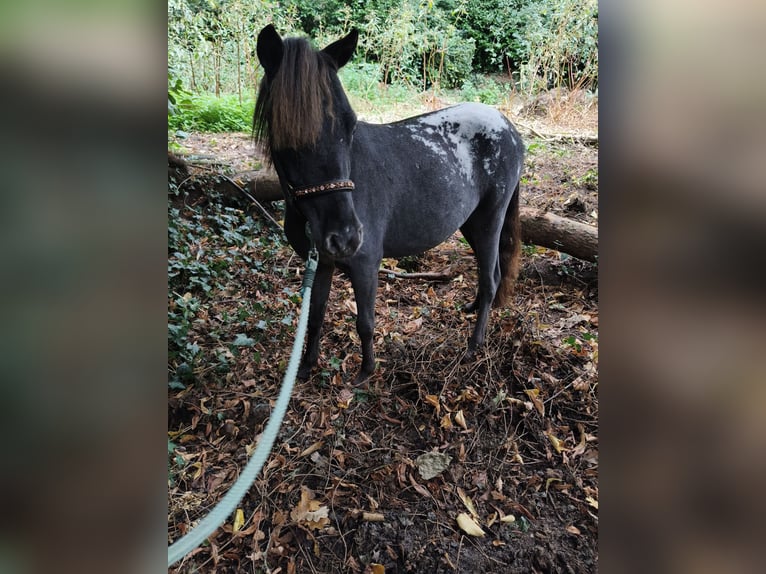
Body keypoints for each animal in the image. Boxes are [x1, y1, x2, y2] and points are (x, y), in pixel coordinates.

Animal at [253, 25, 524, 385]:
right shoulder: (322, 263)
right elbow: (316, 315)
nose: (346, 237)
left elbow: (365, 322)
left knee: (490, 278)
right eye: (286, 130)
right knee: (490, 272)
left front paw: (366, 370)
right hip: (471, 223)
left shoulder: (366, 264)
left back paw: (474, 345)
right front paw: (308, 364)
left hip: (490, 219)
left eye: (350, 123)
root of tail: (508, 127)